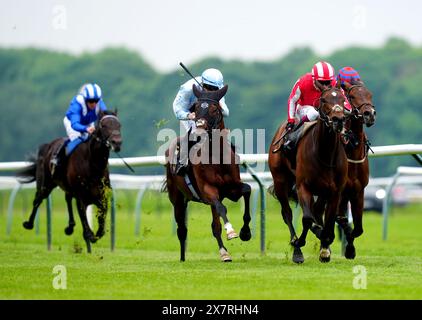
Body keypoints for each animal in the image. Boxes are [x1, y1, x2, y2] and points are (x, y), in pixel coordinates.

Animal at [16, 110, 122, 252]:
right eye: (104, 126)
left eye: (119, 125)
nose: (117, 142)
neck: (93, 165)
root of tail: (47, 145)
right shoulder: (81, 197)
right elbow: (84, 219)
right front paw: (89, 235)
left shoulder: (102, 197)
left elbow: (101, 223)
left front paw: (95, 234)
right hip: (45, 185)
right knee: (38, 200)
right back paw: (28, 223)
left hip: (66, 187)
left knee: (67, 199)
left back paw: (70, 227)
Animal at [164, 85, 251, 262]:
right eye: (195, 108)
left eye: (214, 109)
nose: (198, 130)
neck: (217, 158)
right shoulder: (208, 191)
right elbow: (222, 208)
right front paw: (231, 231)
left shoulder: (232, 189)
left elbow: (247, 190)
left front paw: (246, 232)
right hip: (177, 198)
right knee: (182, 229)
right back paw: (183, 257)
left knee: (215, 226)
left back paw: (224, 253)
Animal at [270, 82, 350, 262]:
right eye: (324, 99)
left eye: (343, 99)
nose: (338, 119)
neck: (325, 153)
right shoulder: (303, 187)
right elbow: (307, 219)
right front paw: (299, 245)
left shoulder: (335, 191)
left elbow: (328, 220)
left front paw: (325, 248)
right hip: (280, 180)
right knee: (287, 213)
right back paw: (296, 247)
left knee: (317, 211)